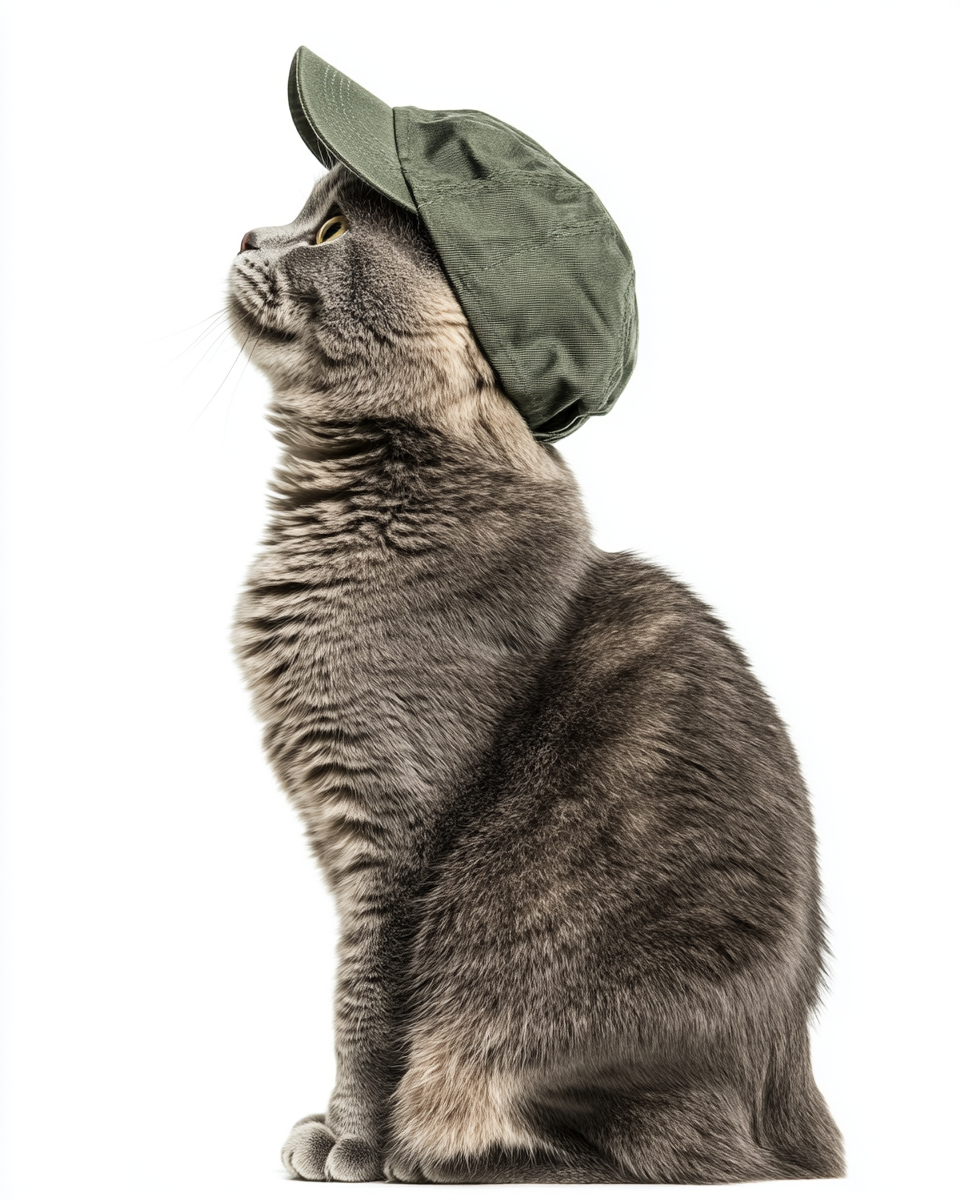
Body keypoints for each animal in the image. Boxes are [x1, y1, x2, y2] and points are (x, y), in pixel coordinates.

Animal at [229, 164, 844, 1185]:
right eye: (302, 213)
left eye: (329, 230)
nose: (245, 235)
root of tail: (798, 1111)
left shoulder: (391, 828)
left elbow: (362, 1002)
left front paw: (352, 1140)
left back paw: (435, 1156)